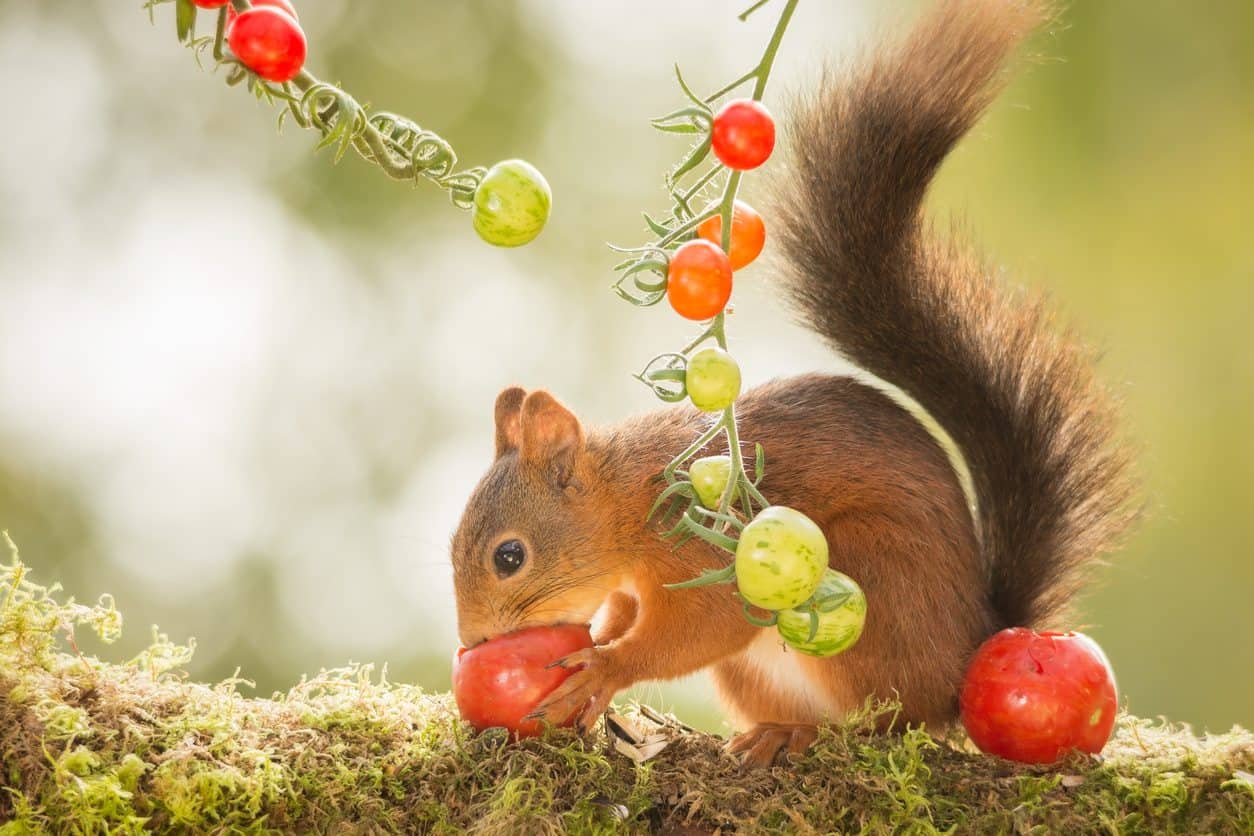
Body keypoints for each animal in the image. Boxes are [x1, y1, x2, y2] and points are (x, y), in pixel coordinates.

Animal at [448, 0, 1138, 767]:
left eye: (509, 556)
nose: (474, 642)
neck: (627, 501)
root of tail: (966, 656)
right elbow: (630, 614)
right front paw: (601, 641)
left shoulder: (703, 551)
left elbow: (704, 623)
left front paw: (605, 665)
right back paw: (776, 731)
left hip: (872, 583)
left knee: (889, 721)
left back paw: (813, 733)